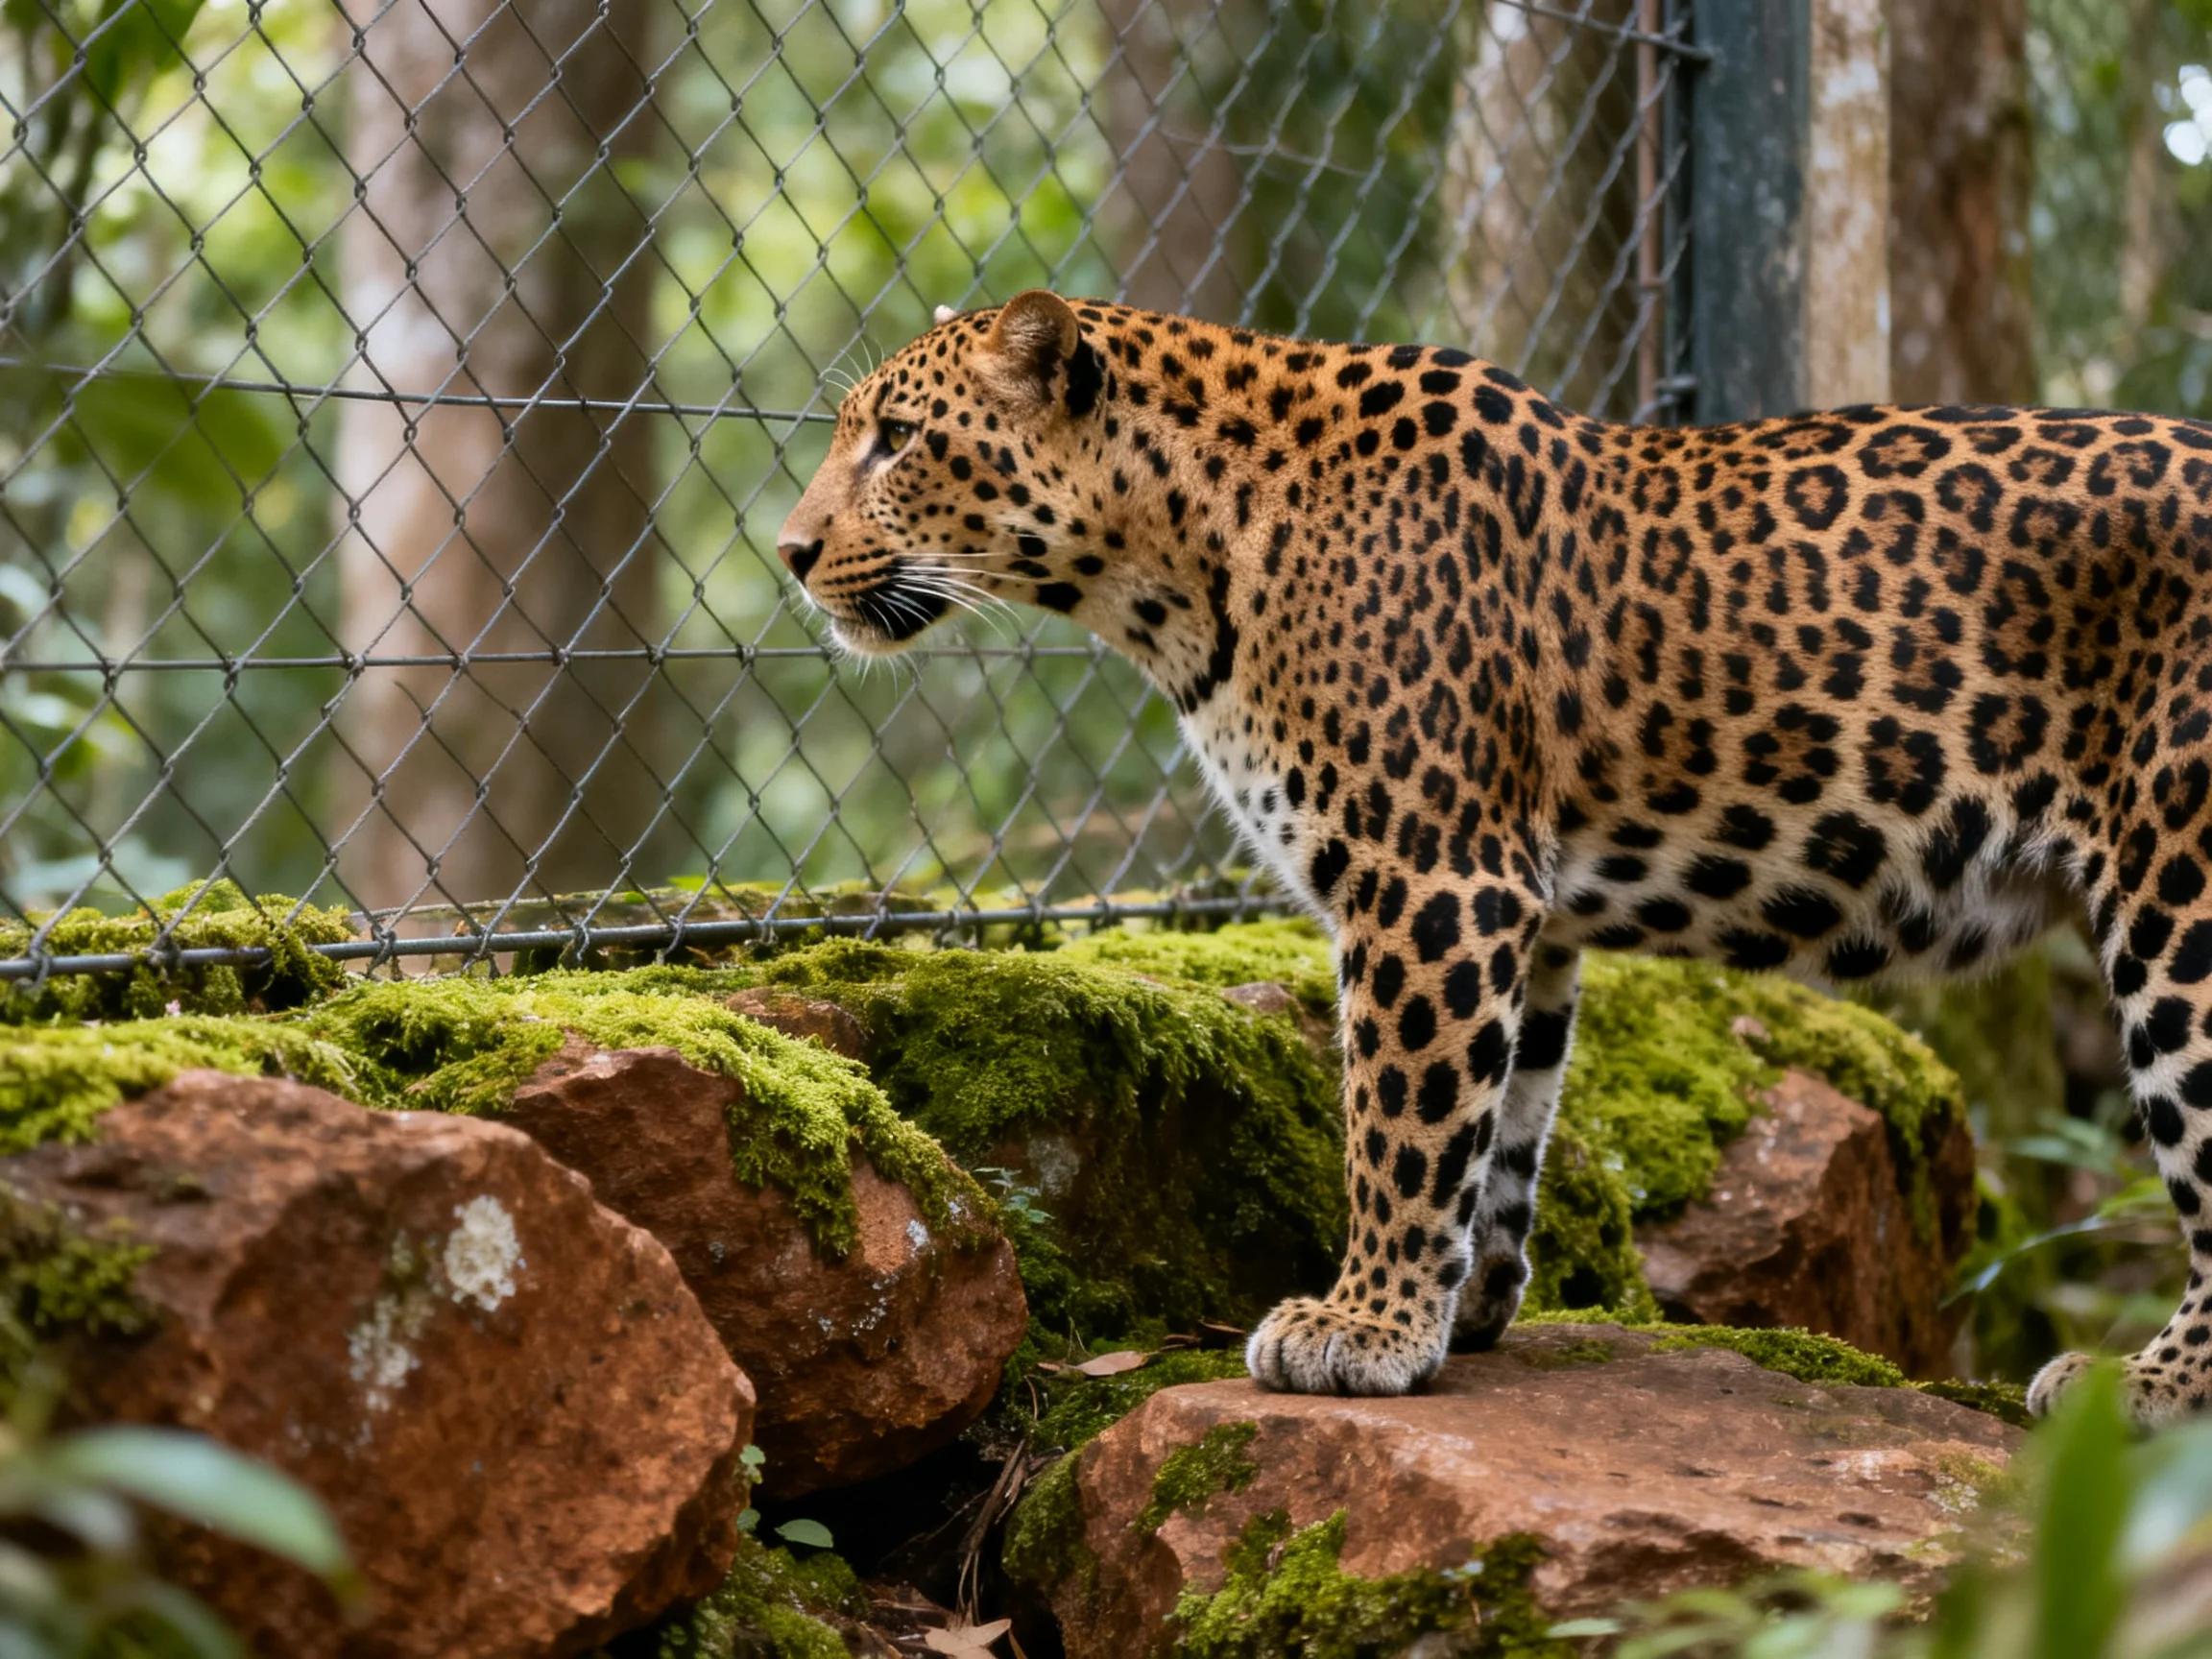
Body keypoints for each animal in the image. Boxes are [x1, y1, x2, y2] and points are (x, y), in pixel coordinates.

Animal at [777, 288, 2212, 1424]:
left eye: (897, 438)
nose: (788, 555)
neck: (1180, 566)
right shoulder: (1527, 907)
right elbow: (1502, 1126)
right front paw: (1459, 1307)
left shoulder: (1427, 878)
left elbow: (1399, 1122)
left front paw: (1361, 1327)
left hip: (2181, 896)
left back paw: (2145, 1385)